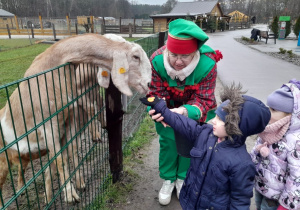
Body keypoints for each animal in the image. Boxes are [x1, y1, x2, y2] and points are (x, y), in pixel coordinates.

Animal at [0, 33, 150, 208]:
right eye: (136, 56)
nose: (148, 84)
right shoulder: (48, 124)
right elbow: (60, 159)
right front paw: (70, 195)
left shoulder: (70, 115)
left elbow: (71, 150)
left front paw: (79, 183)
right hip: (3, 160)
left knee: (29, 169)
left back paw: (41, 197)